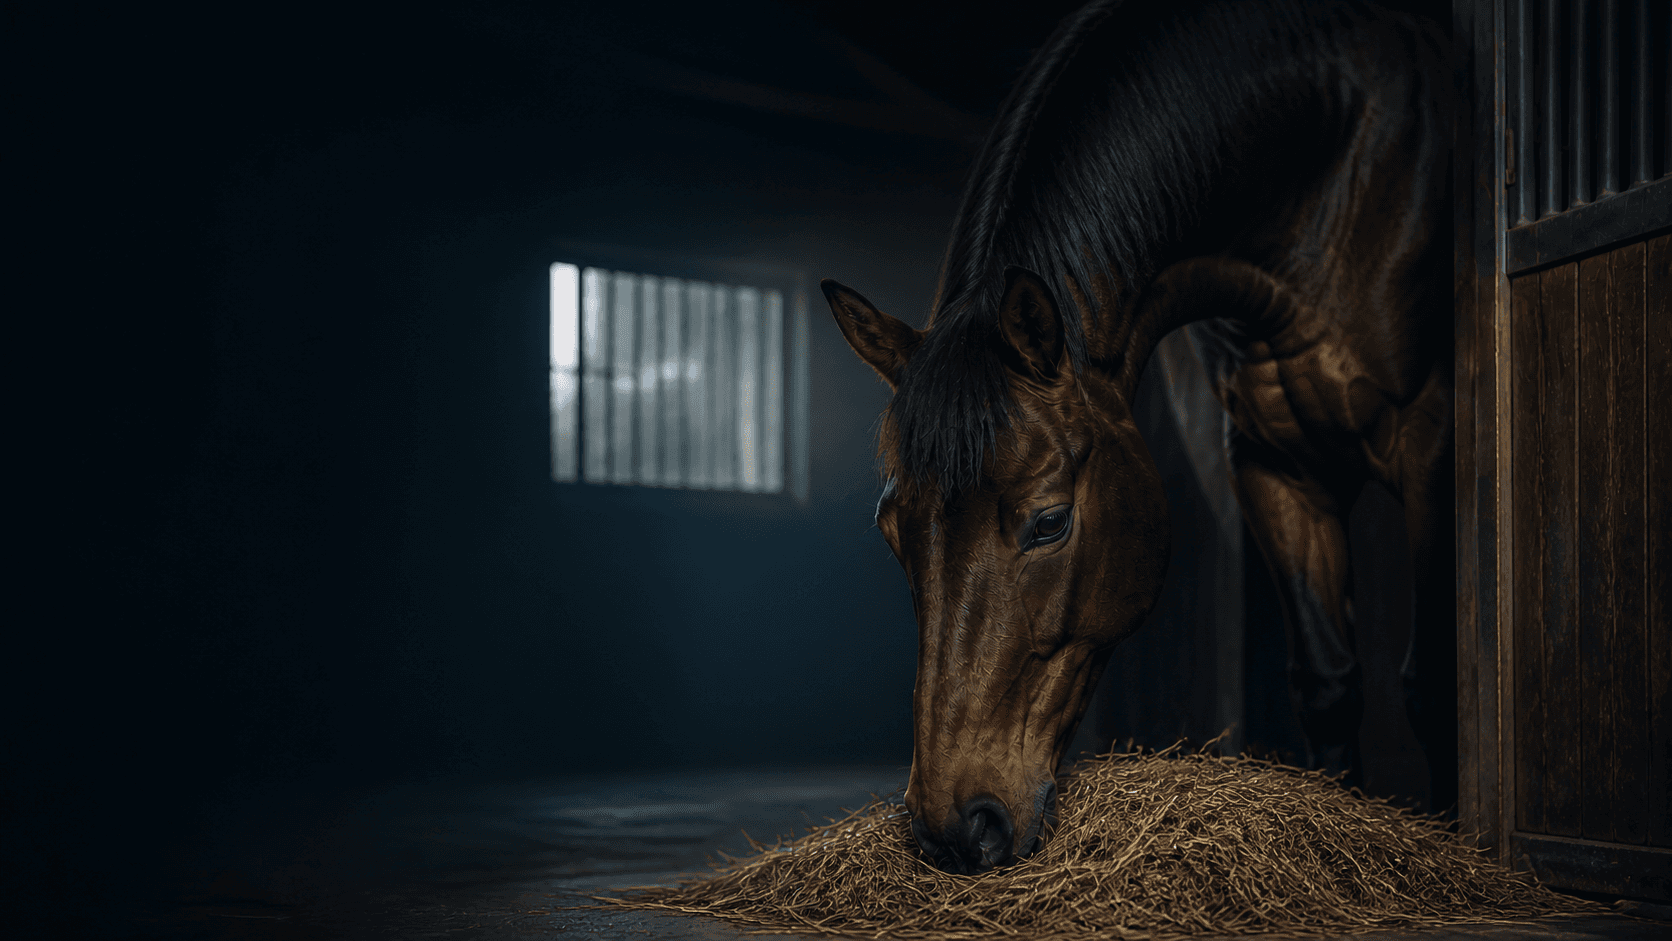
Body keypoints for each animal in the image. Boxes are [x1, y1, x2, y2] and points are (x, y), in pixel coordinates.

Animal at [821, 0, 1454, 874]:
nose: (955, 827)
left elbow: (1432, 685)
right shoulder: (1275, 464)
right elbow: (1329, 683)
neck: (1334, 158)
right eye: (891, 532)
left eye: (1050, 521)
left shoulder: (1430, 442)